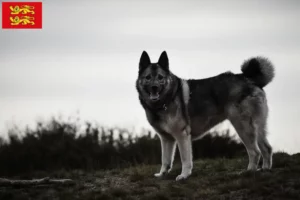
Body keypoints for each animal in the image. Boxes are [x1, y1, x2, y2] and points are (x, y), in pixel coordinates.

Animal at [136, 50, 274, 180]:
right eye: (148, 77)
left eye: (160, 77)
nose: (154, 87)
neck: (168, 98)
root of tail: (249, 78)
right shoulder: (166, 139)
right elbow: (165, 159)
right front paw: (162, 174)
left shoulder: (182, 135)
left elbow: (185, 159)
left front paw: (184, 175)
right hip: (257, 127)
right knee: (266, 148)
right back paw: (265, 169)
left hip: (242, 126)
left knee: (255, 152)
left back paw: (249, 172)